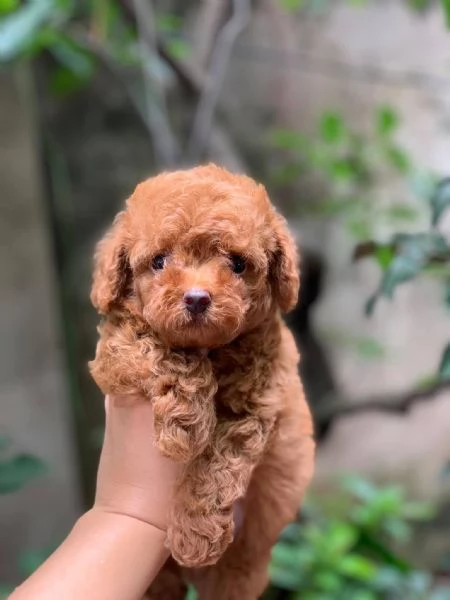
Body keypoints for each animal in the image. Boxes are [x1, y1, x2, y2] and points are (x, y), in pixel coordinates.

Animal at [88, 164, 312, 600]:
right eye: (159, 261)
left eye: (238, 264)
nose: (196, 298)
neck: (209, 350)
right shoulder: (115, 351)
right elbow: (153, 345)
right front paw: (186, 422)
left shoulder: (258, 403)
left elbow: (218, 466)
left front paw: (195, 535)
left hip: (241, 568)